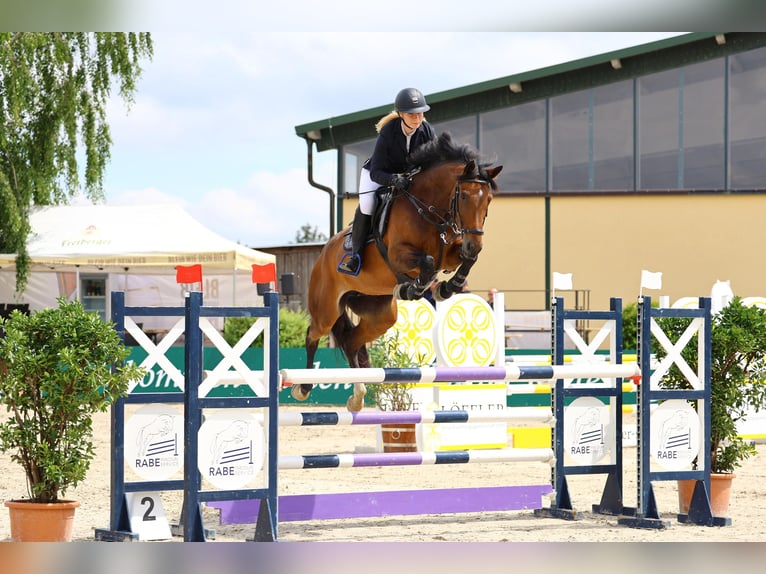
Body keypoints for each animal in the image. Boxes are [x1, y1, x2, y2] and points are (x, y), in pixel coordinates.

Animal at [296, 134, 504, 414]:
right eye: (464, 197)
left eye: (488, 200)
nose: (475, 243)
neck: (429, 210)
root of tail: (322, 253)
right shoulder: (398, 254)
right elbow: (427, 262)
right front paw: (414, 288)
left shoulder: (452, 251)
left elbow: (465, 260)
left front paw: (446, 287)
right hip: (327, 309)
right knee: (313, 334)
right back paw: (303, 387)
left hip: (380, 313)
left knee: (351, 341)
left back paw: (358, 397)